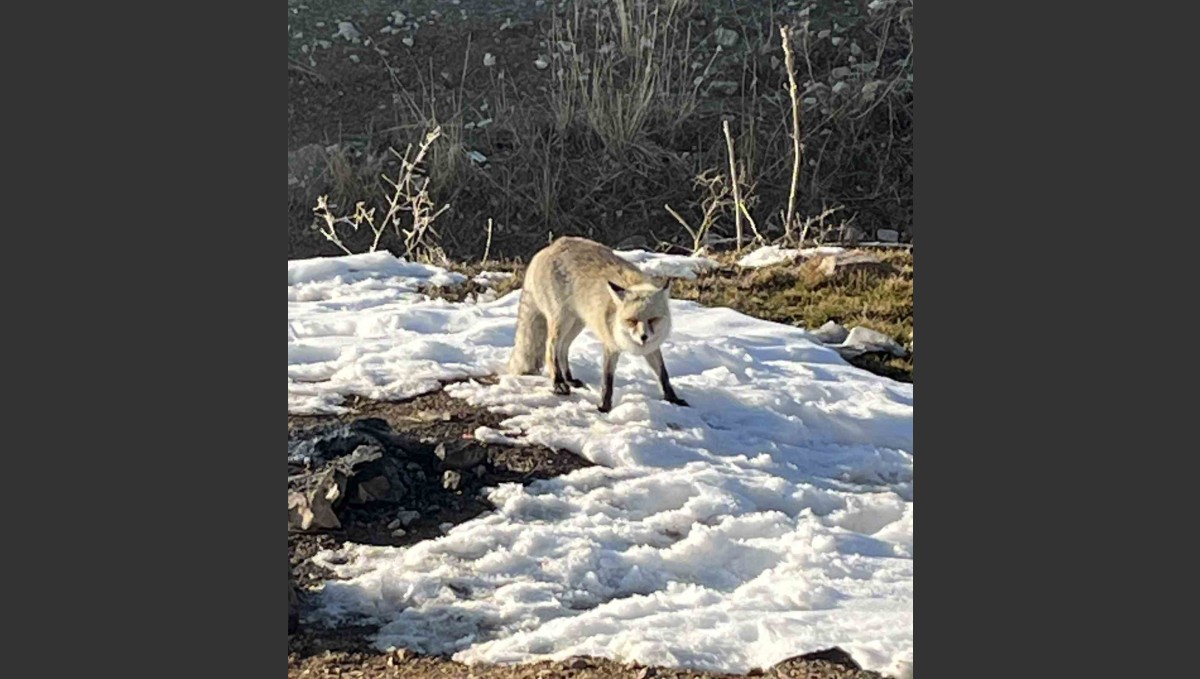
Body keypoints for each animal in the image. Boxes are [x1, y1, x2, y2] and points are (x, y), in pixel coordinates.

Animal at [506, 236, 691, 412]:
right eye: (631, 320)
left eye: (653, 319)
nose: (643, 337)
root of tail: (549, 248)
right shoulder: (610, 345)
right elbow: (607, 381)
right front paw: (604, 407)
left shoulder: (652, 348)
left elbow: (663, 375)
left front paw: (672, 398)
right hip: (562, 321)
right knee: (551, 348)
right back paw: (558, 382)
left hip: (576, 323)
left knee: (563, 349)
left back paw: (569, 379)